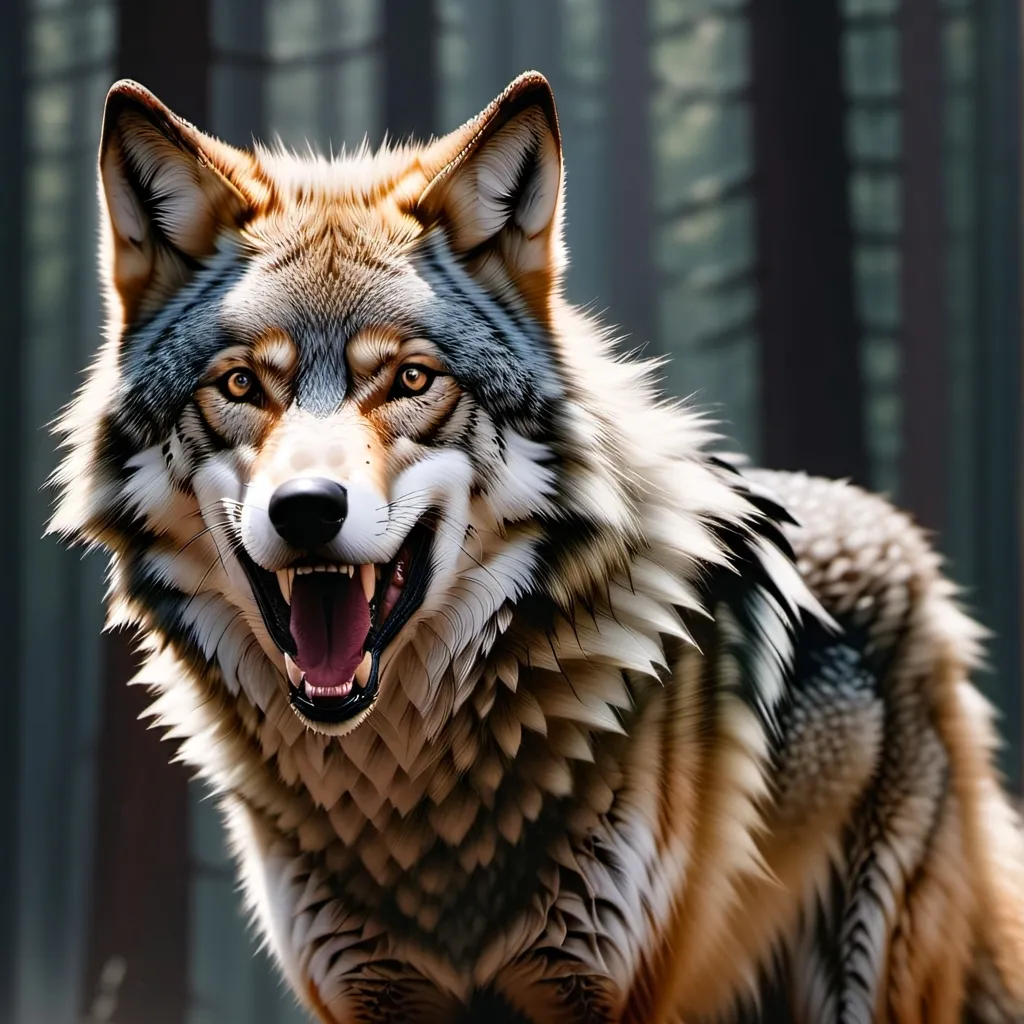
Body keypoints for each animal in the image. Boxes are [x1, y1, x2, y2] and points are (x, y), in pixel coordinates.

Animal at [51, 71, 1024, 1022]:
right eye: (242, 385)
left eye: (412, 379)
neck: (406, 795)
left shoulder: (600, 990)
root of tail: (896, 531)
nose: (306, 510)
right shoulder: (365, 995)